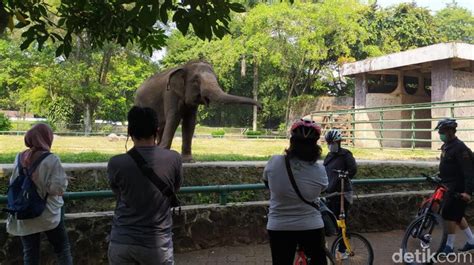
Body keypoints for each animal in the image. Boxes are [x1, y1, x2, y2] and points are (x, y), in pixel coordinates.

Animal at [134, 59, 262, 161]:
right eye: (196, 80)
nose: (260, 107)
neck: (185, 66)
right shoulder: (170, 94)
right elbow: (174, 118)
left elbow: (190, 122)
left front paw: (188, 160)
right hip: (139, 104)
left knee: (160, 127)